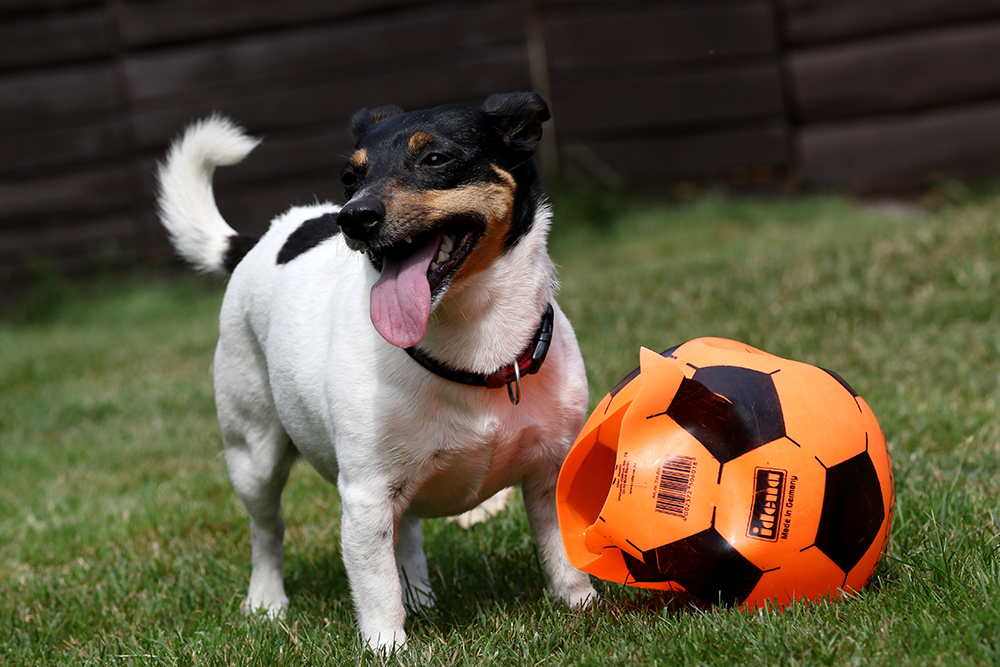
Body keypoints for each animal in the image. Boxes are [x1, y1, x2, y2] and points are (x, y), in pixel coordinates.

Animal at [155, 91, 592, 648]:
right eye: (349, 176)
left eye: (435, 159)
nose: (353, 216)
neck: (472, 350)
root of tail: (264, 237)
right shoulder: (364, 496)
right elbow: (375, 584)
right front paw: (389, 647)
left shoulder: (548, 469)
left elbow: (562, 556)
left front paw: (584, 607)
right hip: (252, 452)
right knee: (267, 531)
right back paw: (267, 602)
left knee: (405, 534)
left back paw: (420, 597)